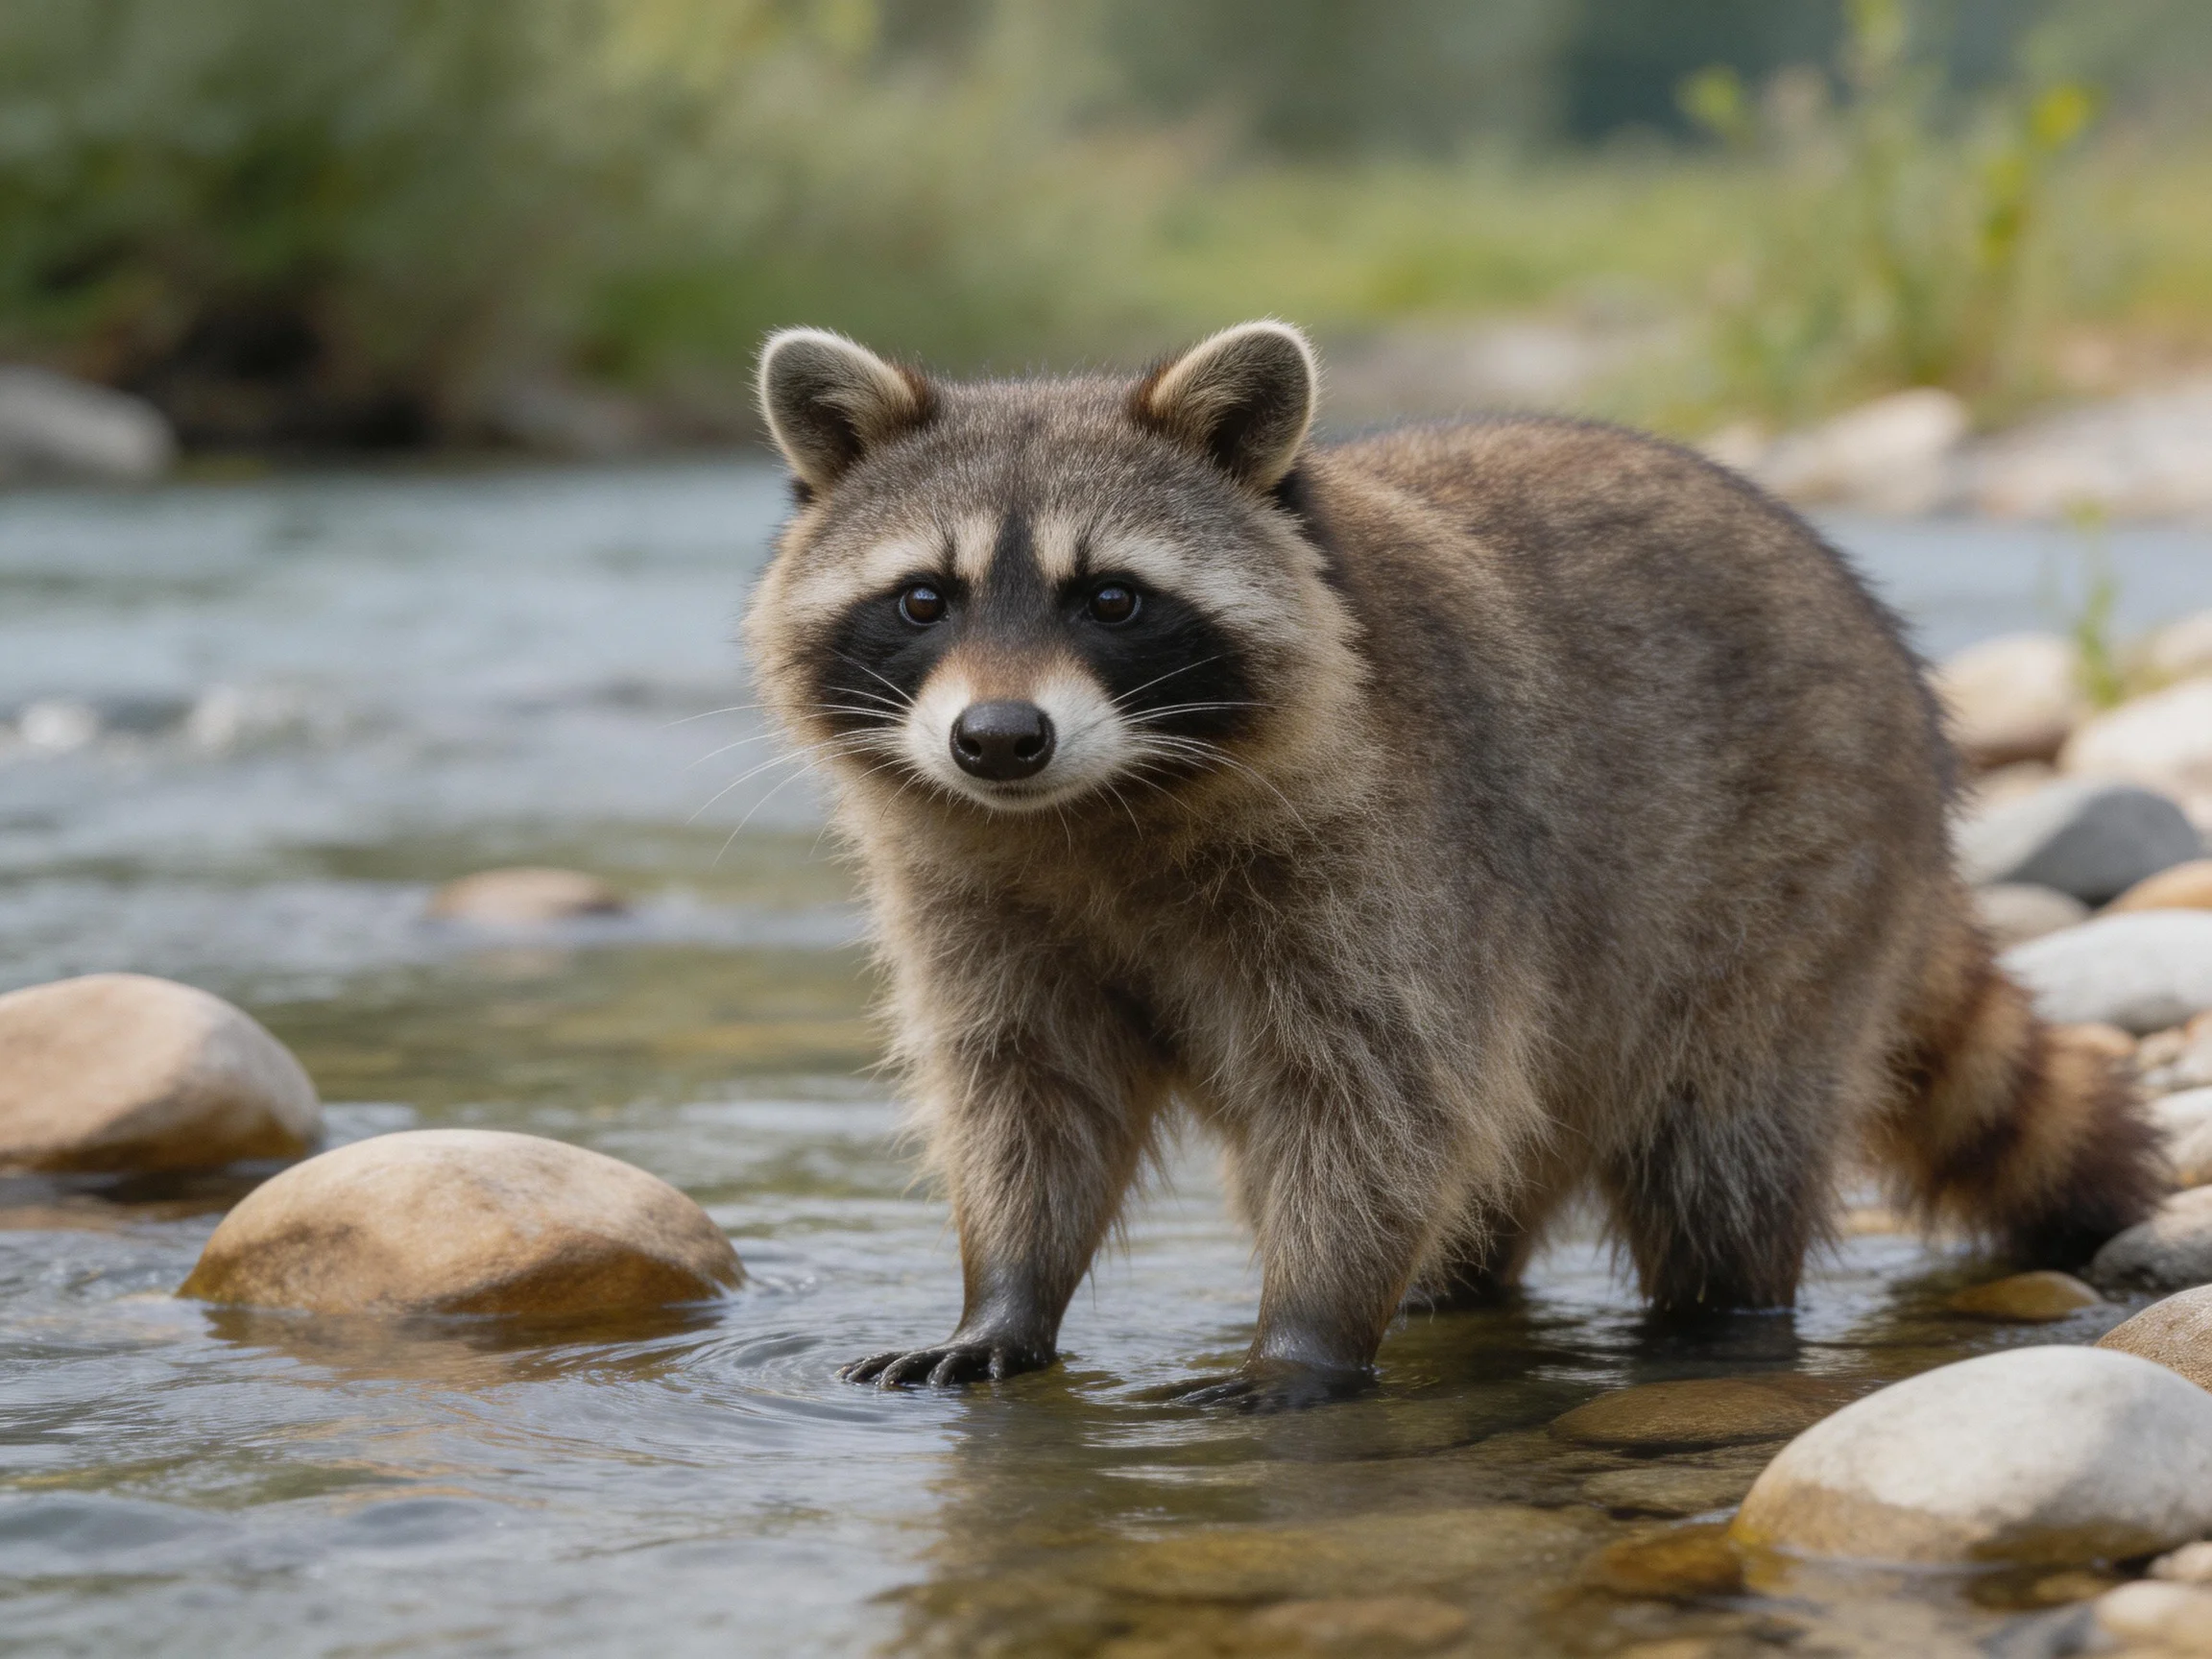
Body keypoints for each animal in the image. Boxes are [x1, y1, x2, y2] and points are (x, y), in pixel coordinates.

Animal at [743, 320, 2161, 1409]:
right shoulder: (977, 890)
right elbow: (1026, 1095)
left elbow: (1380, 1098)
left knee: (1723, 1140)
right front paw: (1005, 1295)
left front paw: (1306, 1332)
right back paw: (1452, 1290)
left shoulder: (1402, 857)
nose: (998, 738)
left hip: (1799, 866)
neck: (1092, 809)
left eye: (1113, 600)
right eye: (923, 599)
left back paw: (1717, 1319)